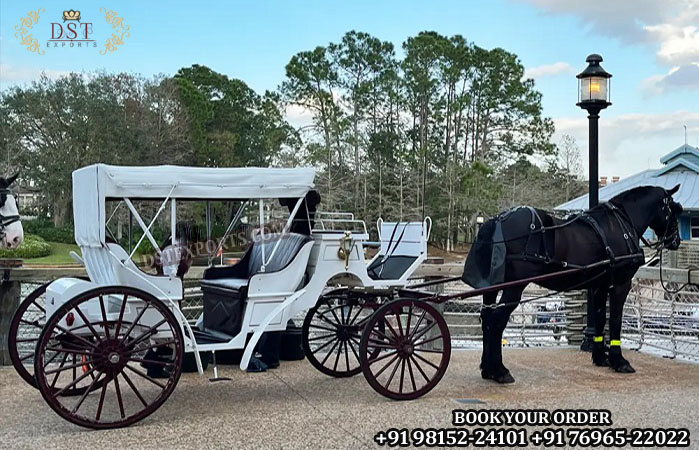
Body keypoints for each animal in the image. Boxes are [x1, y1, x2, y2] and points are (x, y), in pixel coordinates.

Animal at [464, 185, 684, 382]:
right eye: (674, 209)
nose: (676, 240)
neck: (622, 224)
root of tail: (498, 220)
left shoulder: (599, 285)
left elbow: (600, 318)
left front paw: (600, 357)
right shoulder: (621, 284)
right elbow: (615, 321)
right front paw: (619, 361)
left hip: (492, 287)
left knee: (487, 316)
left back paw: (487, 368)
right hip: (514, 286)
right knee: (497, 320)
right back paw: (499, 370)